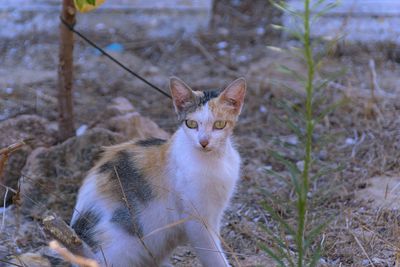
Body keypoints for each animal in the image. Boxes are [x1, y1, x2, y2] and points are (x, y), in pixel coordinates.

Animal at [70, 76, 245, 266]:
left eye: (219, 124)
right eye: (191, 124)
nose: (203, 142)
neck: (215, 160)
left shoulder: (215, 214)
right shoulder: (197, 221)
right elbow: (214, 256)